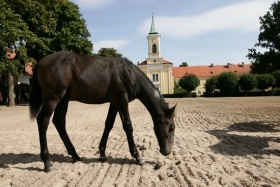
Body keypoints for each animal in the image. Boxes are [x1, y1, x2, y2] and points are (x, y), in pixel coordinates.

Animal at [29, 51, 176, 172]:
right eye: (171, 127)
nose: (167, 151)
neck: (128, 74)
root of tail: (41, 62)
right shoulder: (122, 101)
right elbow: (128, 126)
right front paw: (137, 156)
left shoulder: (115, 103)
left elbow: (108, 124)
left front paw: (102, 153)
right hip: (53, 98)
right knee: (43, 120)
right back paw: (47, 162)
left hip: (64, 99)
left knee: (59, 122)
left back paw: (75, 155)